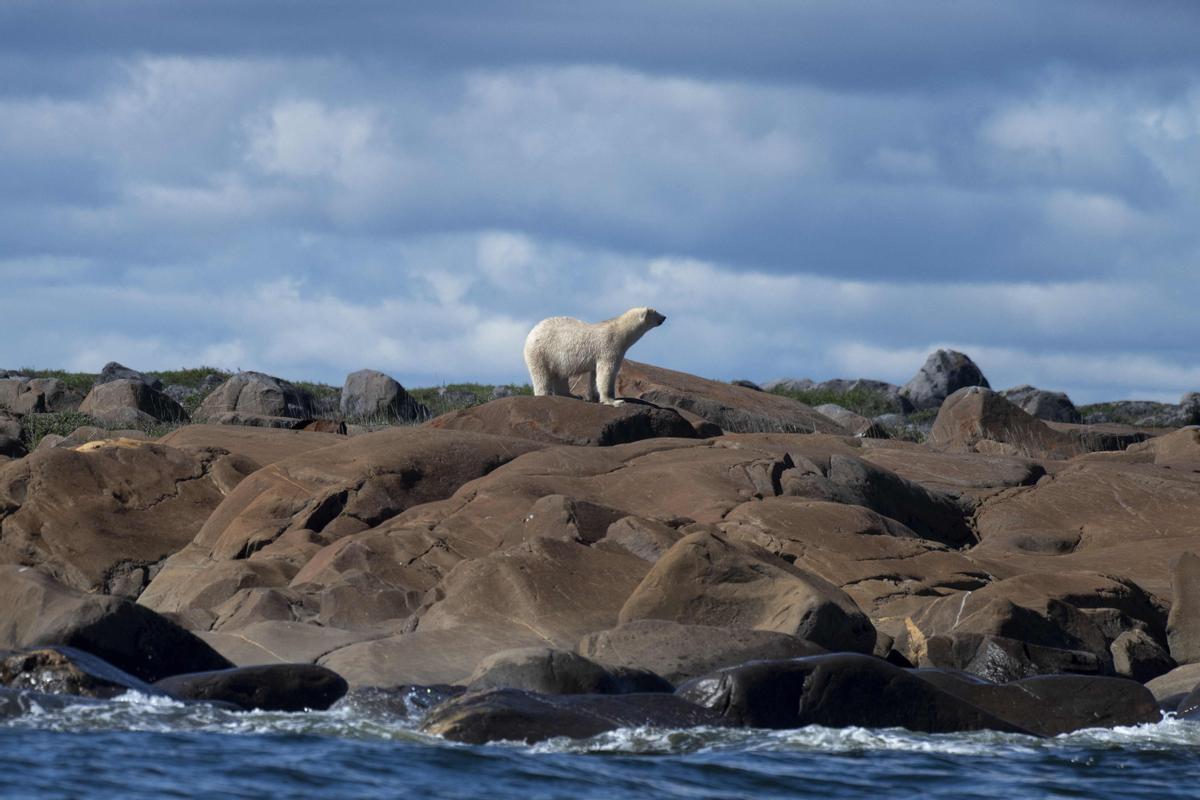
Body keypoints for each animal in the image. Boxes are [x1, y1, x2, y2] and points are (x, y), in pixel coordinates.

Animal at [523, 307, 667, 407]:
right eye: (655, 311)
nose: (665, 317)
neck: (620, 331)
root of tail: (531, 333)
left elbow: (595, 375)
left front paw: (595, 397)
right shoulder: (609, 347)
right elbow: (606, 373)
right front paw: (614, 401)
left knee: (560, 375)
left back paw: (572, 395)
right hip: (541, 352)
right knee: (541, 375)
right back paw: (544, 394)